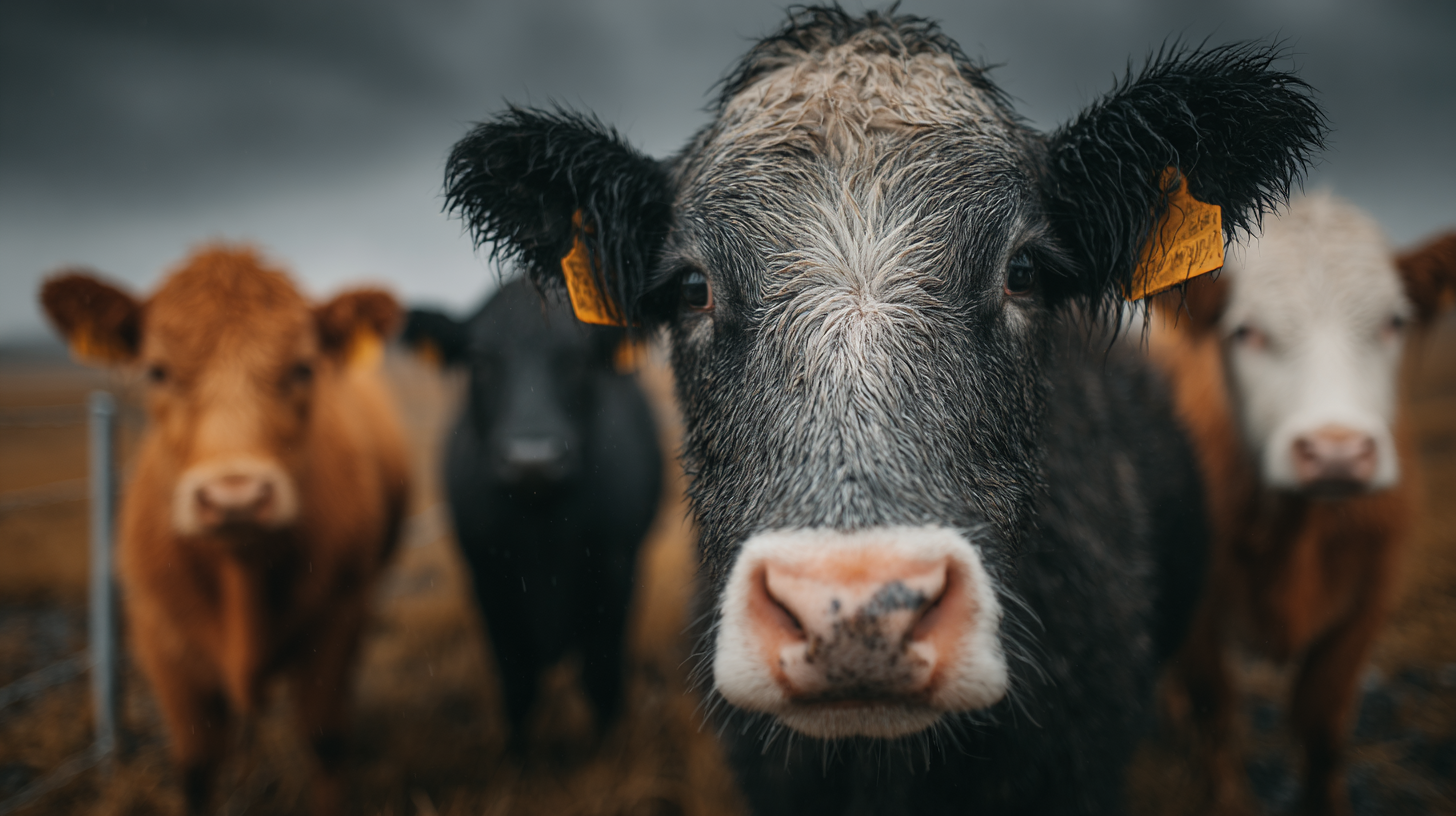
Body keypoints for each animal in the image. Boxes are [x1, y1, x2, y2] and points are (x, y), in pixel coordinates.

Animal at [39, 246, 411, 816]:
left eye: (303, 368)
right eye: (157, 371)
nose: (236, 497)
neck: (242, 579)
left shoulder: (339, 616)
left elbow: (325, 741)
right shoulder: (161, 641)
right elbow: (197, 765)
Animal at [401, 277, 663, 753]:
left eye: (576, 360)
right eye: (480, 361)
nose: (532, 461)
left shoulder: (616, 567)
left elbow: (601, 676)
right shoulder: (488, 573)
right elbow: (517, 681)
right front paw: (518, 756)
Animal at [1151, 194, 1456, 815]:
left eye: (1394, 322)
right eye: (1244, 331)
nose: (1336, 452)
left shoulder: (1373, 590)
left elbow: (1322, 722)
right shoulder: (1197, 601)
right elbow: (1215, 709)